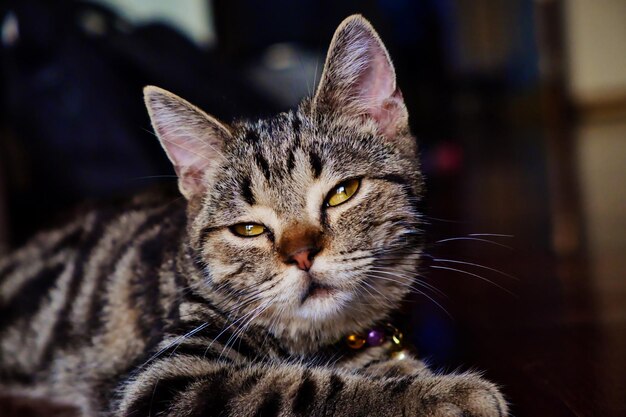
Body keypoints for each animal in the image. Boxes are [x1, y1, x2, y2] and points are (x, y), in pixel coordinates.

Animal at [0, 14, 508, 414]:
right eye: (248, 229)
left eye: (342, 193)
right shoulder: (164, 380)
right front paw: (445, 394)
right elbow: (296, 388)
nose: (302, 255)